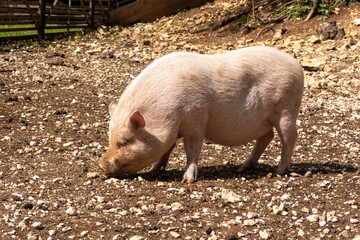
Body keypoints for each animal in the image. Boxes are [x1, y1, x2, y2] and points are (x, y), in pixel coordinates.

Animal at [98, 46, 304, 183]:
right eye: (109, 138)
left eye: (124, 141)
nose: (101, 165)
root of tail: (298, 66)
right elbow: (168, 147)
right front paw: (155, 168)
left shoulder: (195, 119)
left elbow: (192, 149)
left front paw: (187, 180)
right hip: (265, 120)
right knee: (267, 137)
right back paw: (242, 167)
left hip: (286, 108)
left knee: (290, 137)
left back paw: (279, 171)